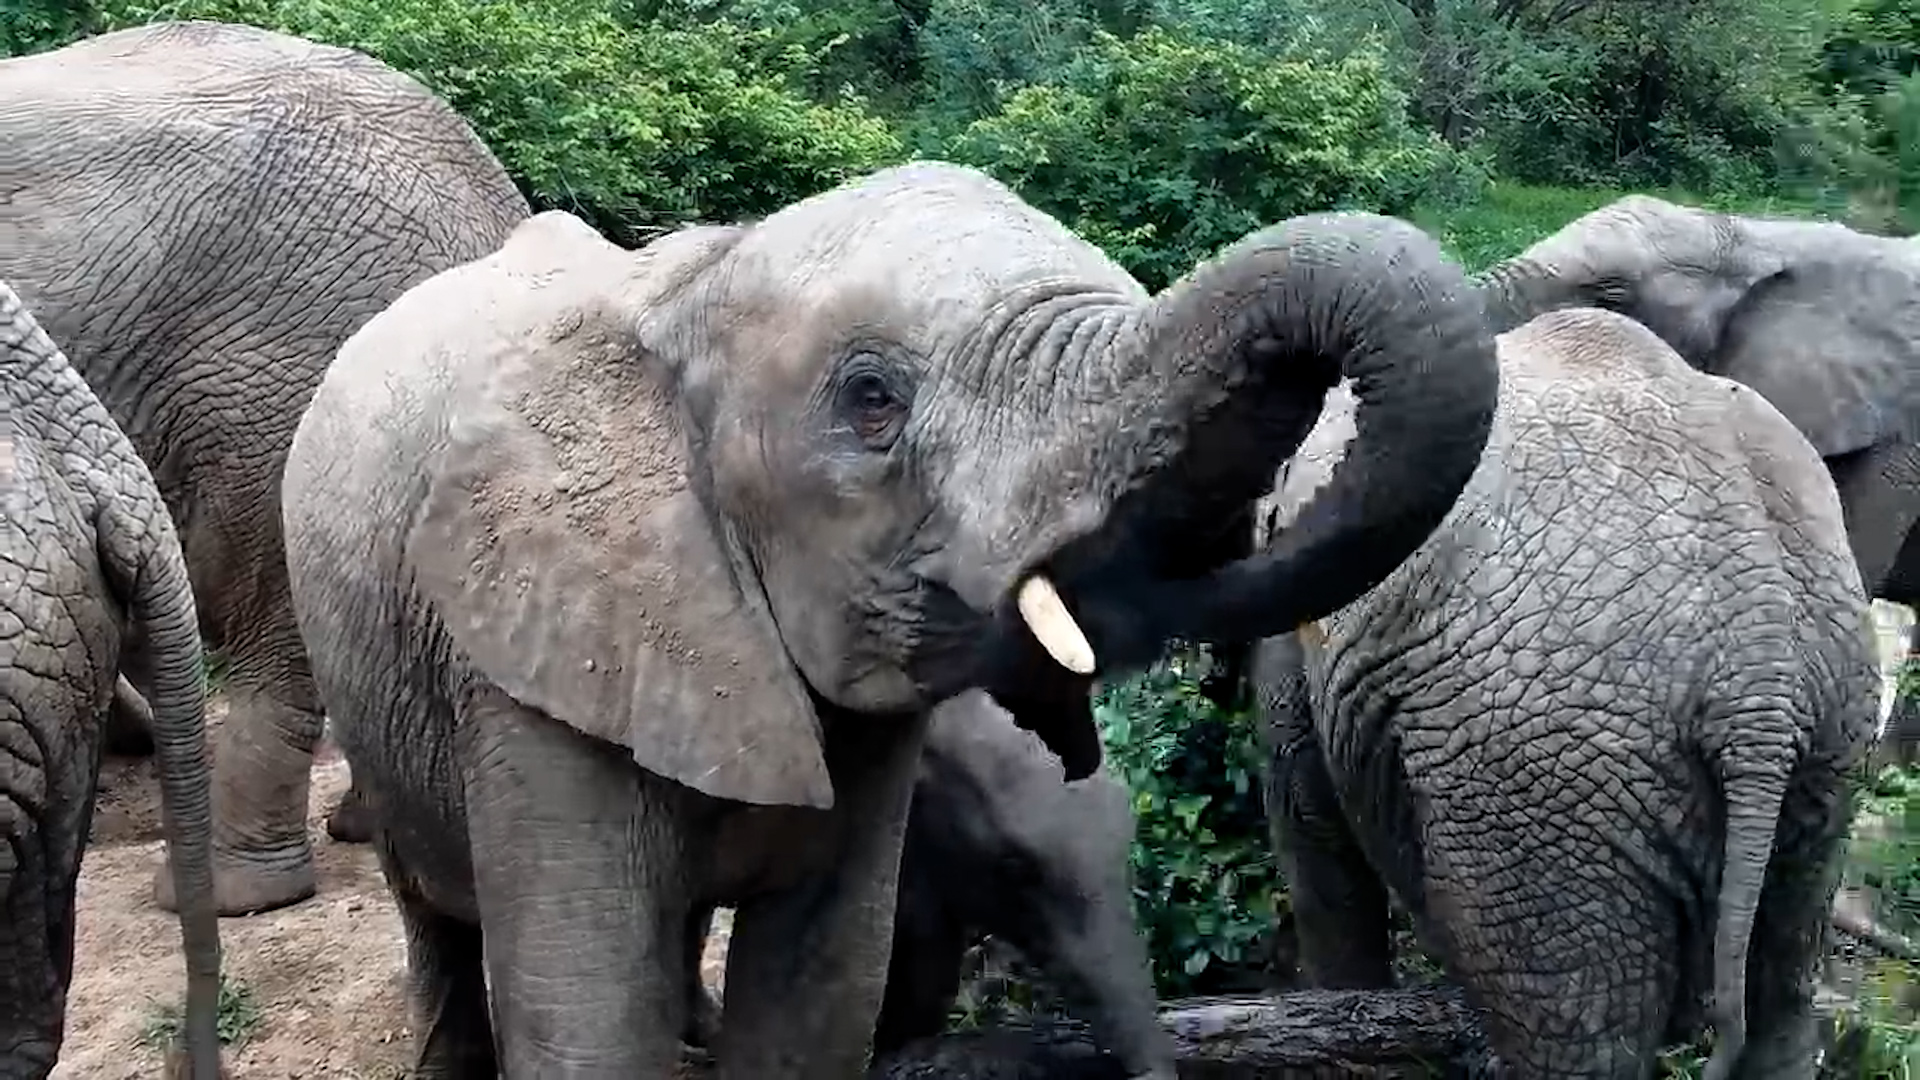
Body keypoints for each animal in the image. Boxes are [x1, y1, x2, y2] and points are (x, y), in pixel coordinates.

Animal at [1231, 307, 1879, 1078]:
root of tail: (1759, 680)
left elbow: (1306, 811)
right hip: (1831, 735)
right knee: (1785, 981)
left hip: (1540, 778)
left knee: (1579, 1036)